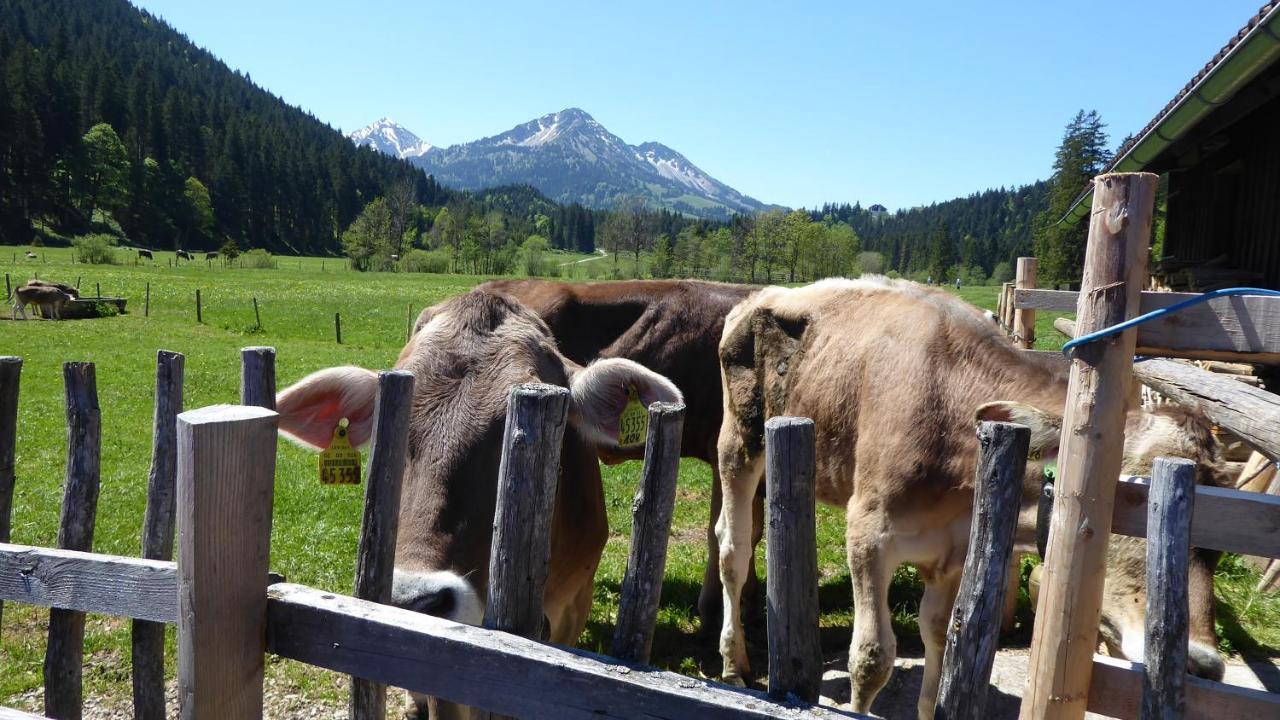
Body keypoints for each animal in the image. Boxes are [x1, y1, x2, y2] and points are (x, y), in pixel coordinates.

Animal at [716, 275, 1223, 717]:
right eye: (1131, 498)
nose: (1202, 664)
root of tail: (762, 294)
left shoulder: (954, 553)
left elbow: (941, 638)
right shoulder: (867, 533)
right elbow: (872, 657)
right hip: (739, 442)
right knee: (732, 549)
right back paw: (732, 665)